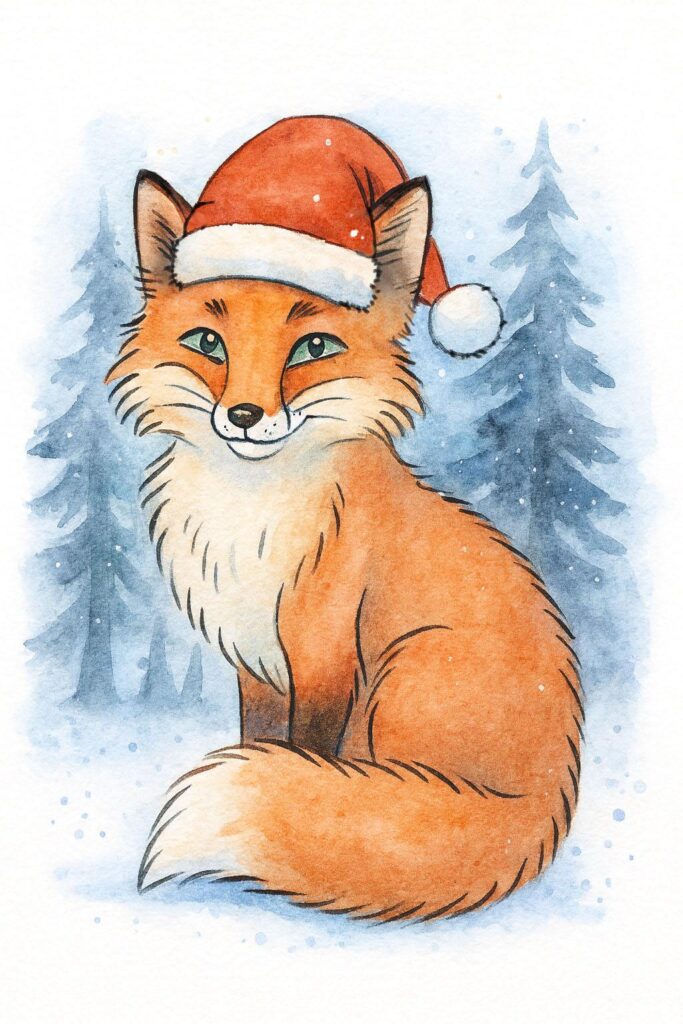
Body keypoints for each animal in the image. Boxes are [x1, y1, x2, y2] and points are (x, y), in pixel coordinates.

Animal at [106, 119, 582, 924]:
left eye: (313, 348)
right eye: (207, 344)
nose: (243, 415)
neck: (252, 512)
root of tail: (544, 805)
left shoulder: (325, 655)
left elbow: (307, 757)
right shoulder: (257, 661)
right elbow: (262, 742)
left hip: (404, 672)